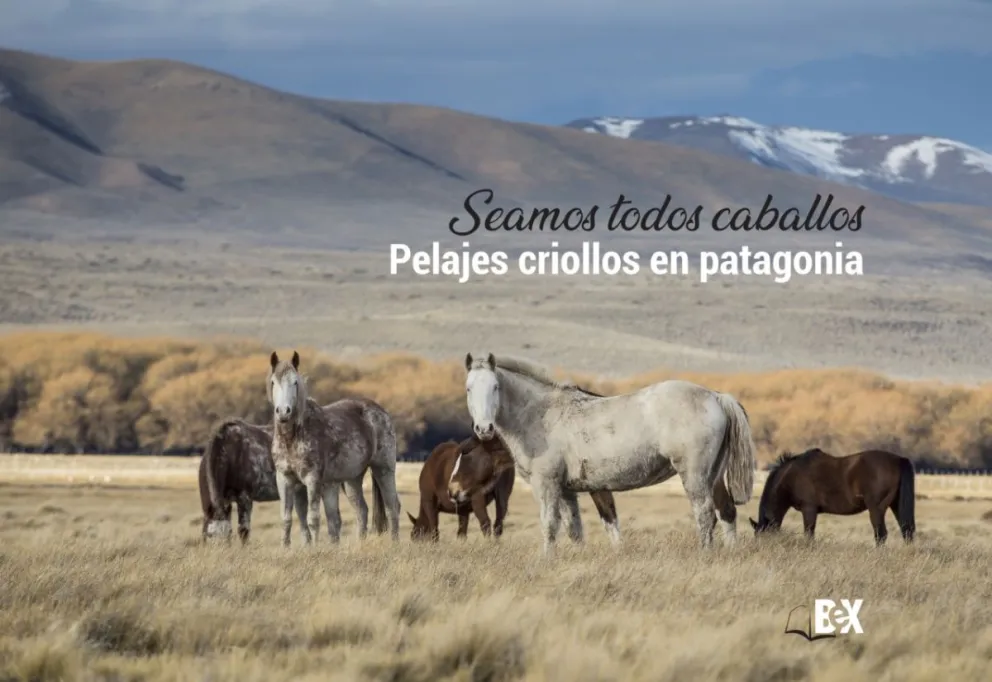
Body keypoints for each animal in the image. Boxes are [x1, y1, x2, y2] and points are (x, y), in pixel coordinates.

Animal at [267, 350, 402, 546]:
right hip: (352, 479)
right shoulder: (284, 479)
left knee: (392, 506)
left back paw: (394, 544)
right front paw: (285, 549)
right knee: (362, 510)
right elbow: (286, 519)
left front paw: (315, 549)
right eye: (273, 382)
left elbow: (313, 519)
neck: (292, 438)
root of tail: (381, 411)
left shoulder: (312, 479)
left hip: (383, 469)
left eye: (295, 382)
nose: (284, 412)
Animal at [749, 448, 916, 546]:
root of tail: (899, 460)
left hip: (876, 508)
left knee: (881, 535)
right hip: (896, 505)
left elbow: (809, 535)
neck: (791, 476)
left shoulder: (809, 509)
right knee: (907, 531)